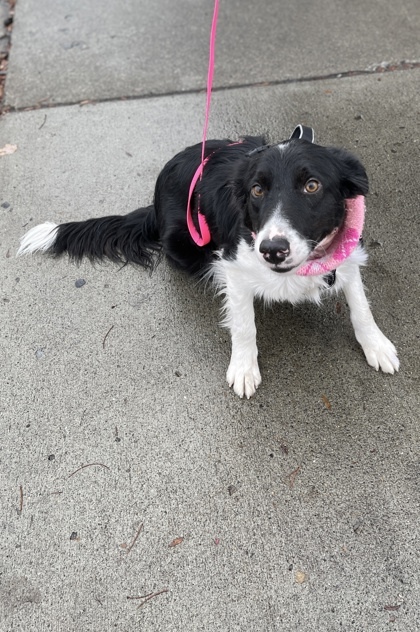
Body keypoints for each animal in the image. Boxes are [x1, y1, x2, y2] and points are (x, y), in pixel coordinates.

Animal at [18, 126, 398, 398]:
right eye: (257, 190)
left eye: (312, 186)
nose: (272, 250)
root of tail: (154, 205)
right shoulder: (233, 264)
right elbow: (244, 323)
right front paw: (244, 368)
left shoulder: (347, 253)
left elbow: (360, 305)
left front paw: (376, 345)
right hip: (182, 245)